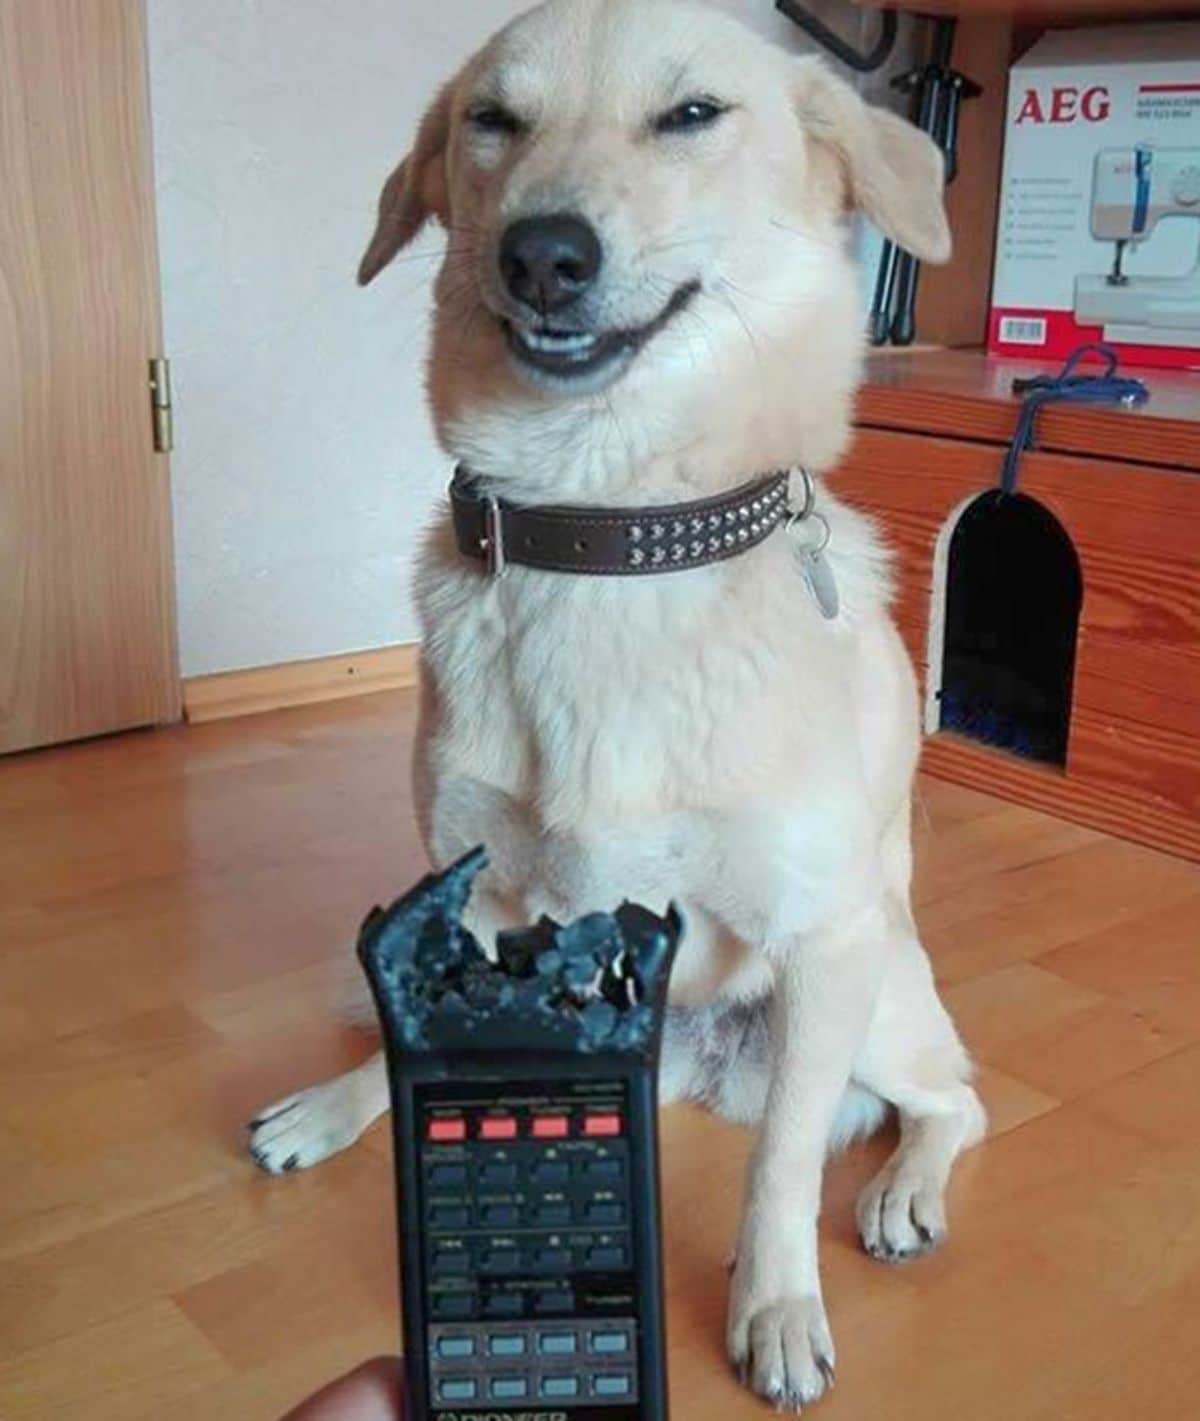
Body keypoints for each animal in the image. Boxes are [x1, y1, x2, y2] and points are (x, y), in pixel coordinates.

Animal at [250, 0, 983, 1398]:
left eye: (692, 115)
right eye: (492, 121)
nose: (543, 255)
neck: (610, 533)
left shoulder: (825, 937)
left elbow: (778, 1166)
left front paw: (775, 1306)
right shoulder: (479, 892)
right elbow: (432, 1035)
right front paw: (357, 1102)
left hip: (877, 995)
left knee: (950, 1099)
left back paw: (904, 1191)